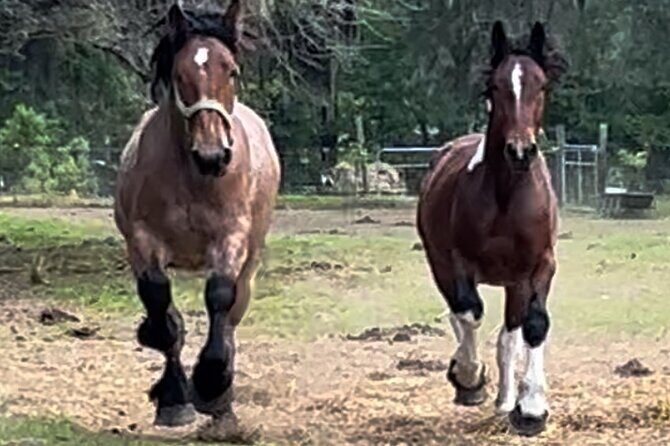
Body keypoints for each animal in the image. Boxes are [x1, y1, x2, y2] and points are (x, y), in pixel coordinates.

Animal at [114, 0, 280, 430]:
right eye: (178, 75)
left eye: (231, 71)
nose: (212, 155)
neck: (192, 178)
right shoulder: (143, 242)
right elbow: (160, 308)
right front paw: (174, 398)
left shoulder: (231, 238)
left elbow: (220, 297)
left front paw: (209, 384)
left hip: (251, 259)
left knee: (233, 314)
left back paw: (223, 401)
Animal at [417, 21, 566, 436]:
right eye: (495, 87)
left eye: (541, 86)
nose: (520, 151)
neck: (506, 198)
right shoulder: (458, 263)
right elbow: (468, 313)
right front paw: (468, 379)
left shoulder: (540, 266)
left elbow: (534, 325)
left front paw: (530, 409)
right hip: (440, 264)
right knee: (459, 313)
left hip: (515, 282)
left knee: (508, 337)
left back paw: (504, 401)